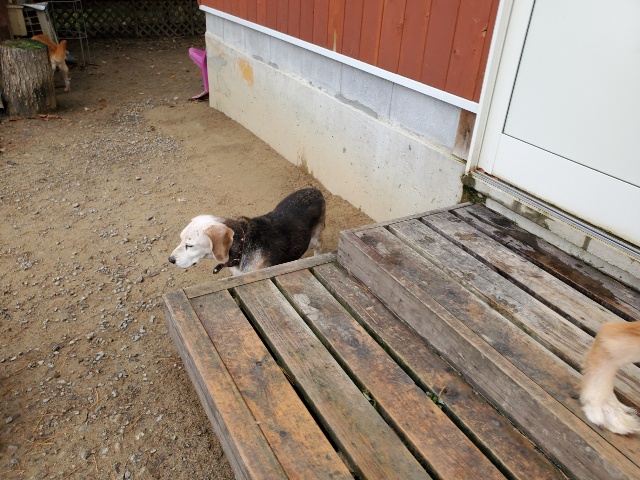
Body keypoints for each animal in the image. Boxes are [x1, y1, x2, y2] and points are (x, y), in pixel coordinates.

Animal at [169, 188, 325, 275]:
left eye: (190, 245)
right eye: (181, 239)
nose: (170, 260)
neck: (241, 247)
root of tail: (316, 190)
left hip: (316, 239)